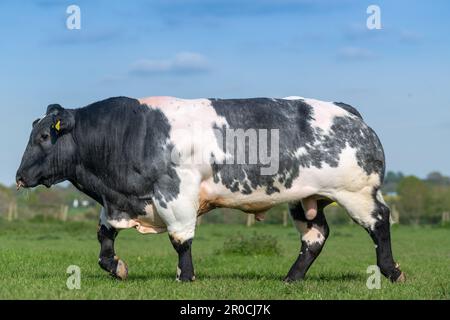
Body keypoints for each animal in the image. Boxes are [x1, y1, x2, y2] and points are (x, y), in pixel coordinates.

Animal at [16, 95, 404, 282]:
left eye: (44, 136)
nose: (19, 176)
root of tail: (345, 110)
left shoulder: (176, 194)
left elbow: (181, 240)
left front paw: (185, 277)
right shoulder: (118, 204)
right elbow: (104, 239)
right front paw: (117, 267)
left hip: (357, 193)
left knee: (380, 222)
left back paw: (391, 271)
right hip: (305, 198)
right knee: (315, 236)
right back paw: (291, 279)